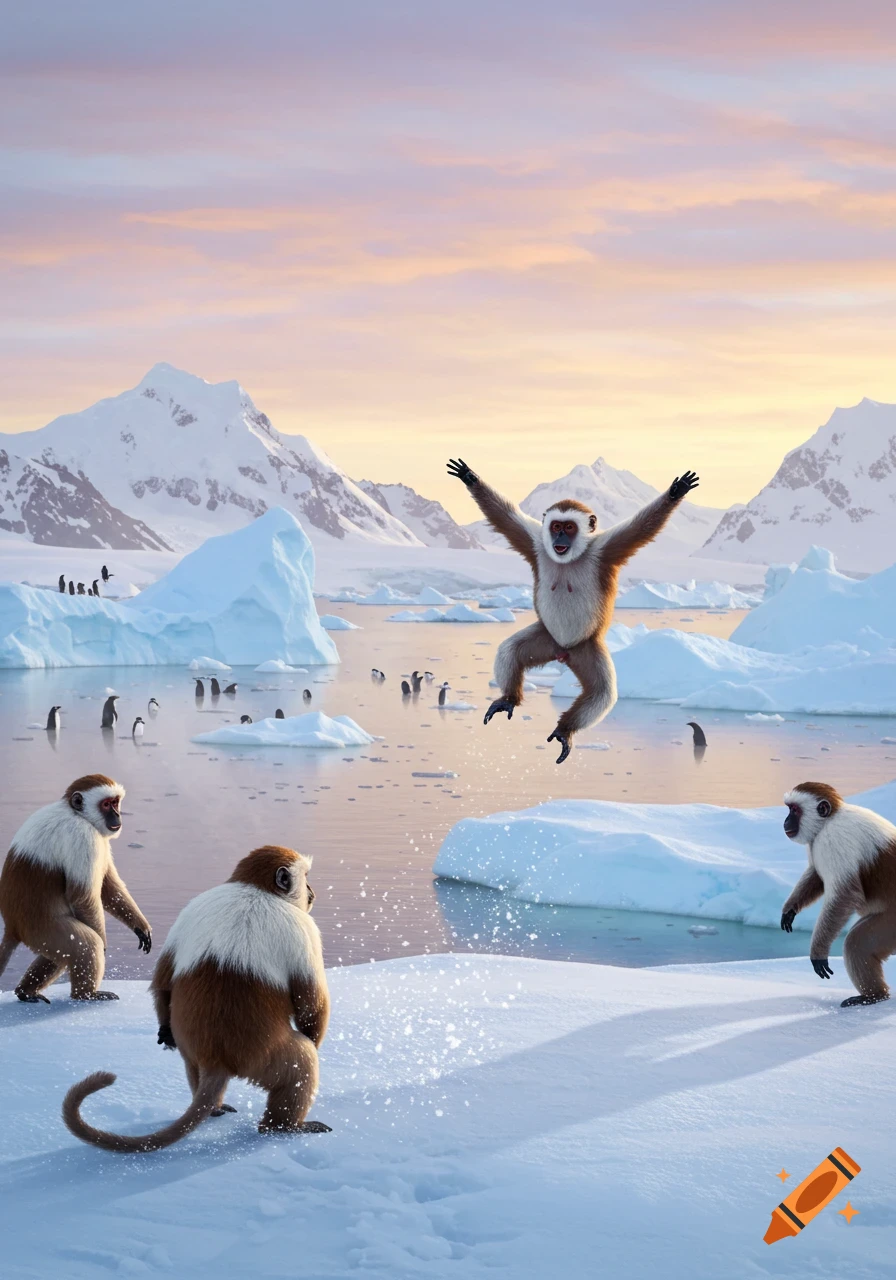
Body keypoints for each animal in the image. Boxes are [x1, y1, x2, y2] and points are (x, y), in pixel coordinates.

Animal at [0, 774, 151, 1003]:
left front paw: (139, 926)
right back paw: (85, 994)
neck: (76, 814)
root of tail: (12, 925)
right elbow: (82, 897)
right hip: (42, 927)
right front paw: (104, 945)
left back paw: (25, 991)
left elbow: (107, 890)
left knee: (60, 954)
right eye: (106, 805)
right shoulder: (83, 837)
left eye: (115, 803)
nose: (117, 815)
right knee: (86, 944)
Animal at [62, 845, 330, 1152]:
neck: (253, 889)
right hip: (264, 1059)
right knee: (303, 1059)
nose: (311, 891)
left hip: (193, 1049)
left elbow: (163, 982)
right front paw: (314, 1034)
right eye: (305, 879)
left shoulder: (189, 911)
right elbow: (312, 1007)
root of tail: (218, 1057)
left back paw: (214, 1107)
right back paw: (283, 1127)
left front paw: (164, 1031)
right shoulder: (305, 931)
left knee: (189, 1057)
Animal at [447, 457, 700, 763]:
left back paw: (565, 729)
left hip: (586, 647)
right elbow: (505, 518)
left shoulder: (604, 549)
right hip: (545, 639)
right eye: (555, 525)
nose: (559, 537)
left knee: (602, 692)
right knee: (511, 651)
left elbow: (641, 527)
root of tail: (562, 651)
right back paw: (508, 699)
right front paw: (470, 477)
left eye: (569, 528)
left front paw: (676, 492)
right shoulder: (537, 543)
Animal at [780, 782, 896, 1006]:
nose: (785, 821)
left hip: (891, 921)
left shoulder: (833, 840)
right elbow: (816, 875)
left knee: (856, 943)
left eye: (794, 810)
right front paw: (790, 908)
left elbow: (846, 895)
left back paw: (875, 995)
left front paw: (818, 952)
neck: (829, 820)